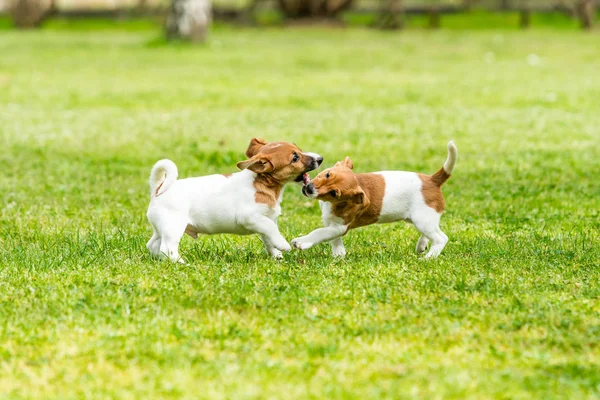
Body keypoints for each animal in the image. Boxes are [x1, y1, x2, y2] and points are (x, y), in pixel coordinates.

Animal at [146, 138, 324, 262]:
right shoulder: (251, 217)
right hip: (173, 227)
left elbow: (269, 238)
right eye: (295, 158)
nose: (320, 158)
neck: (262, 183)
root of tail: (157, 189)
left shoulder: (265, 220)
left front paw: (277, 256)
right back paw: (181, 263)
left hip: (162, 228)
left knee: (153, 245)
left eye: (299, 150)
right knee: (166, 248)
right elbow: (272, 230)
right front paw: (283, 245)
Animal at [292, 142, 458, 258]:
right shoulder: (331, 222)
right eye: (327, 174)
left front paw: (302, 242)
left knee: (441, 238)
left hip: (422, 220)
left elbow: (320, 233)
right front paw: (339, 253)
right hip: (421, 219)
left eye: (333, 193)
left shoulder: (339, 227)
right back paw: (422, 246)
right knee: (432, 231)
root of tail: (433, 180)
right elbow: (332, 237)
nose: (309, 189)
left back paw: (428, 258)